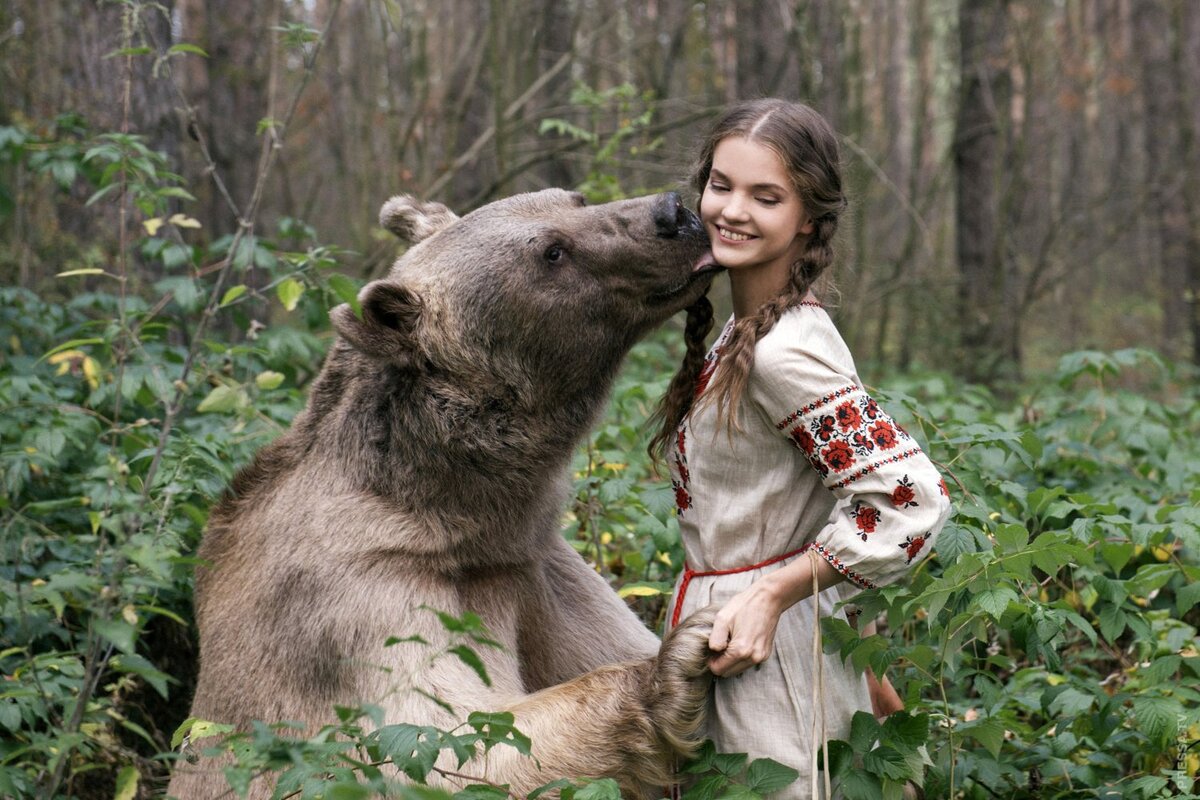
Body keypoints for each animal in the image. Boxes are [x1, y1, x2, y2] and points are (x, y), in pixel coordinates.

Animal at [168, 190, 720, 796]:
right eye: (551, 252)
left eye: (572, 198)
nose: (673, 213)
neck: (456, 509)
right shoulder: (354, 605)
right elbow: (448, 744)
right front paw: (679, 659)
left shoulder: (533, 568)